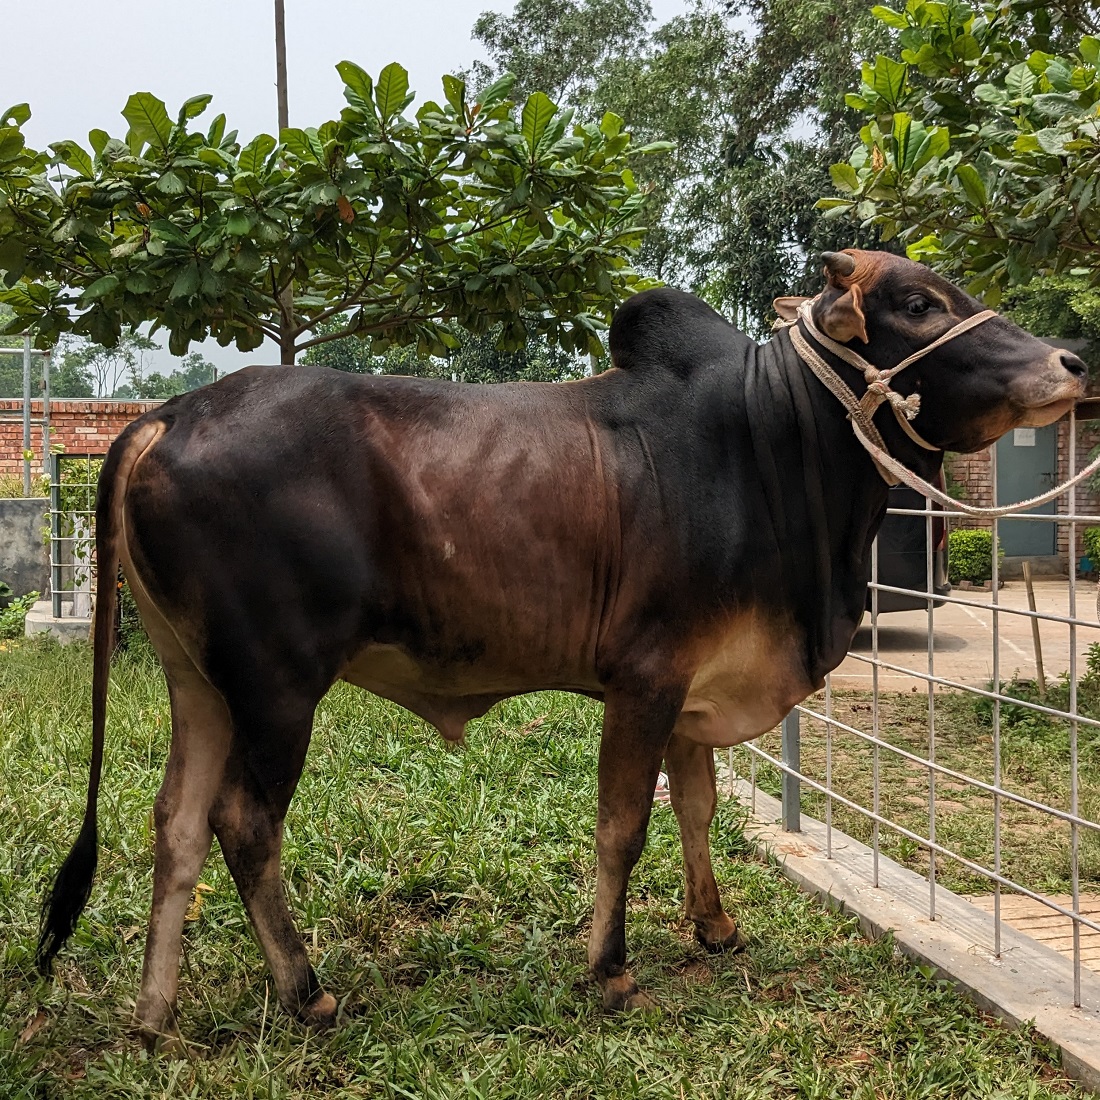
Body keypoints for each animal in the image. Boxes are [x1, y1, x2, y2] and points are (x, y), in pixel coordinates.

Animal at [36, 249, 1091, 1047]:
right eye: (918, 304)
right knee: (244, 824)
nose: (1073, 361)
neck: (769, 444)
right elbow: (623, 824)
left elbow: (698, 808)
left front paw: (714, 926)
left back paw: (154, 1016)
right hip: (277, 685)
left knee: (174, 825)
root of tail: (169, 413)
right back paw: (307, 992)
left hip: (198, 680)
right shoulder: (645, 680)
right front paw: (609, 969)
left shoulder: (697, 690)